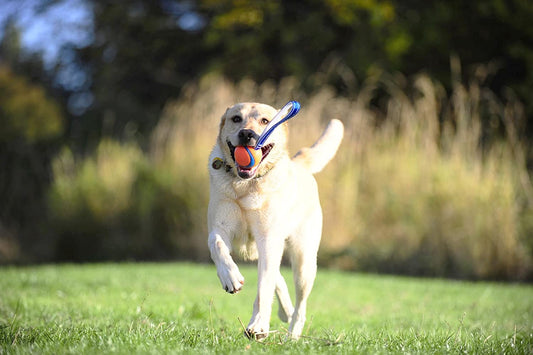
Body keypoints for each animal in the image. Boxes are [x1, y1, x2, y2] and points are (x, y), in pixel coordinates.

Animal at [206, 102, 342, 340]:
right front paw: (230, 278)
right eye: (236, 118)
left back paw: (293, 335)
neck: (246, 185)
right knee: (278, 277)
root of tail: (298, 164)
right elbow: (217, 245)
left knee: (300, 305)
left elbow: (264, 289)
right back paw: (285, 310)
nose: (247, 134)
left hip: (304, 262)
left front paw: (258, 326)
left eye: (264, 121)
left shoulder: (268, 239)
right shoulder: (219, 228)